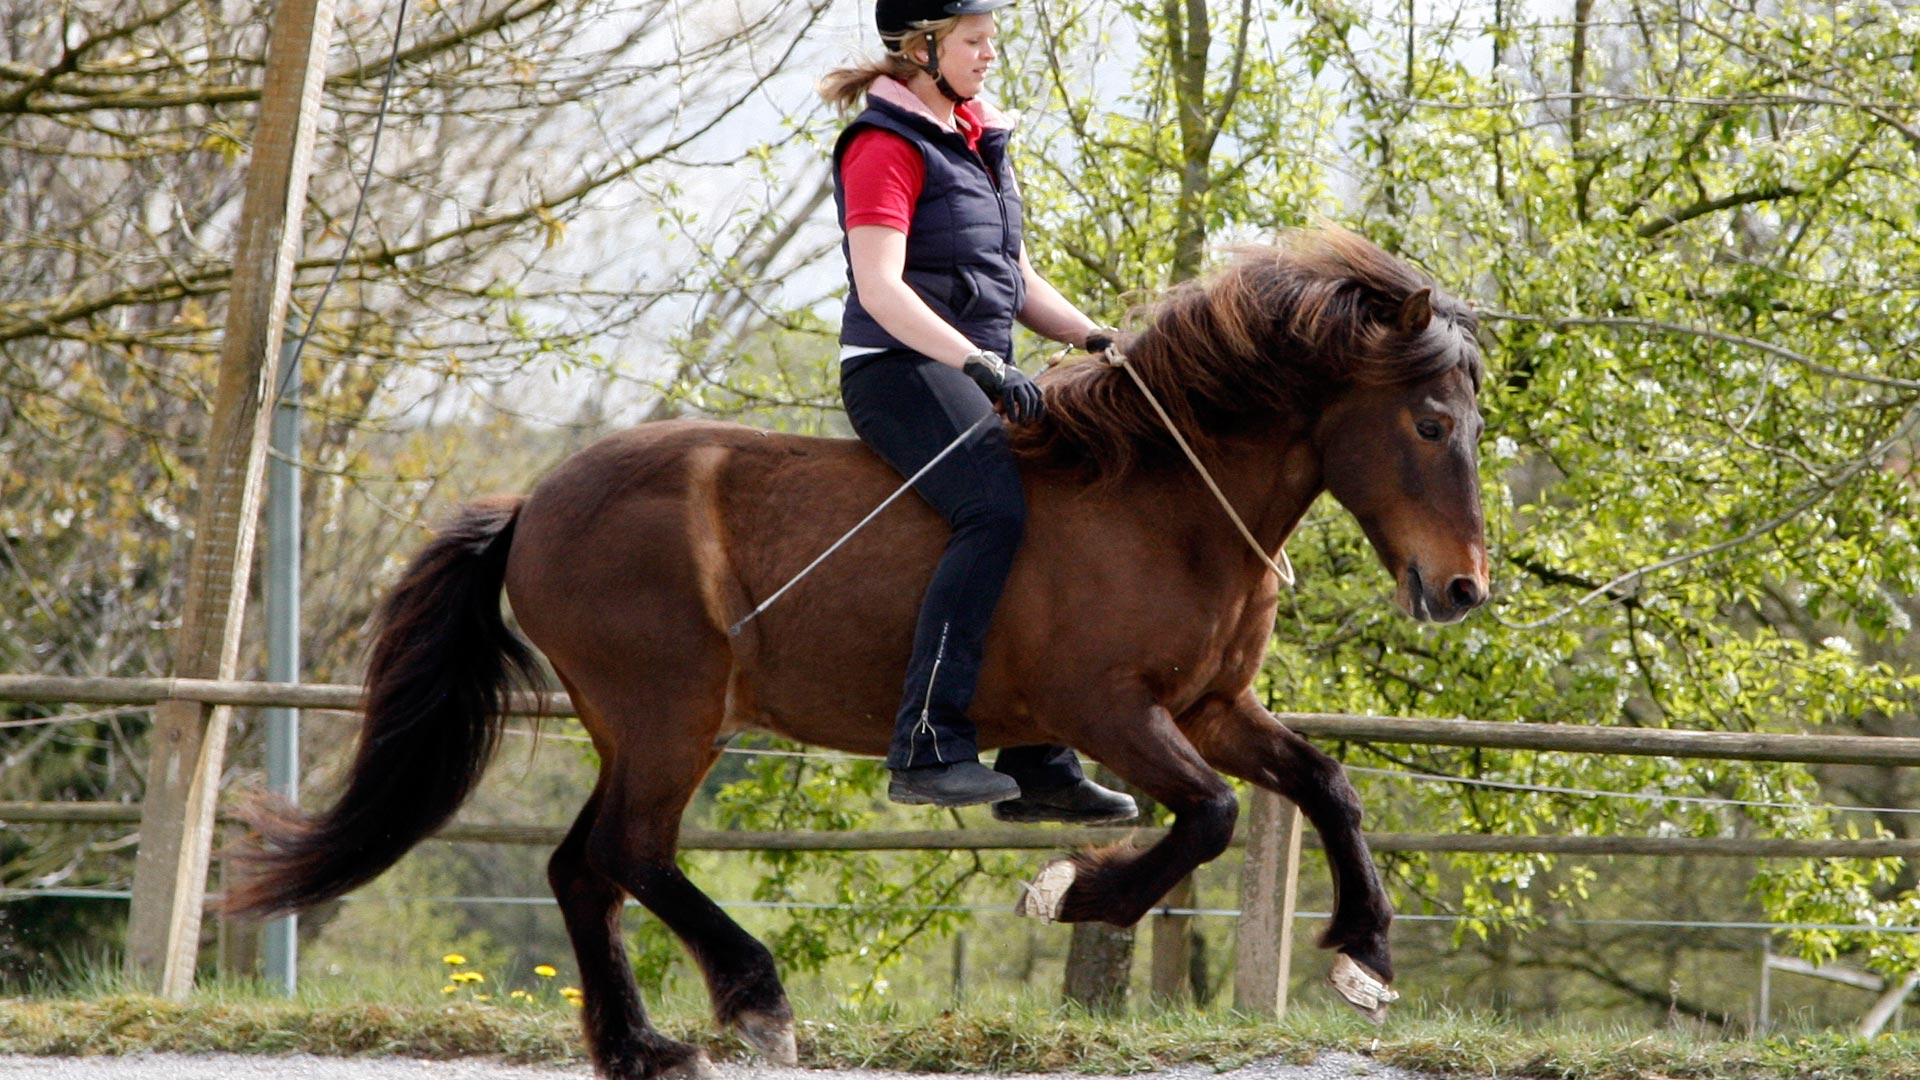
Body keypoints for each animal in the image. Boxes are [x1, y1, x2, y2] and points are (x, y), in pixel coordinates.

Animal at [220, 224, 1482, 1076]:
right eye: (1430, 424)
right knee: (629, 853)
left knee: (585, 867)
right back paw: (755, 1001)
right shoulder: (1110, 711)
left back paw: (643, 1047)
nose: (1462, 588)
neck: (1163, 499)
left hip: (640, 728)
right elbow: (1212, 817)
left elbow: (1325, 782)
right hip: (670, 716)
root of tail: (534, 503)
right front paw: (1075, 890)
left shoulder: (1211, 706)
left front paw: (1364, 956)